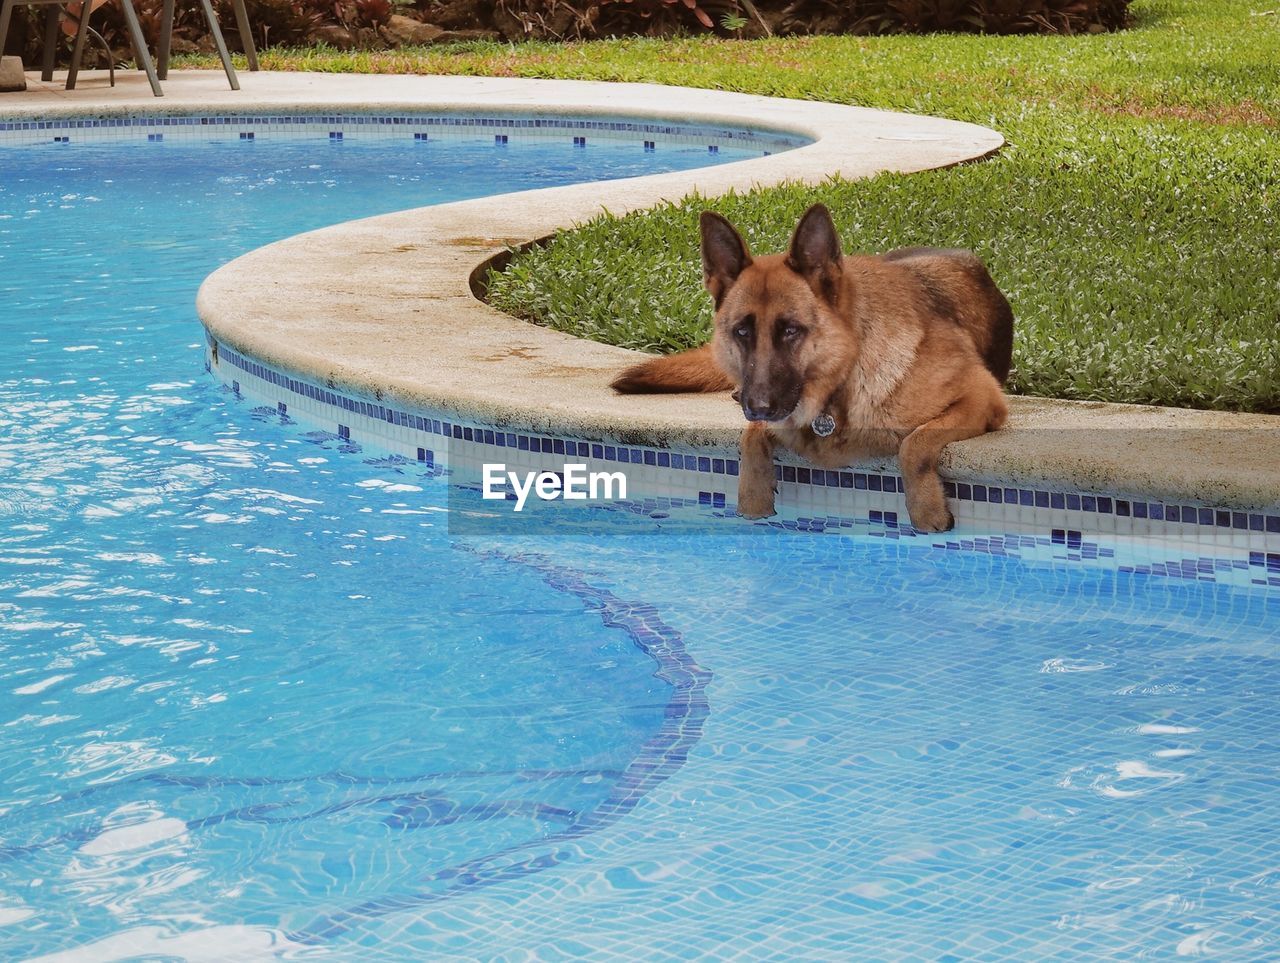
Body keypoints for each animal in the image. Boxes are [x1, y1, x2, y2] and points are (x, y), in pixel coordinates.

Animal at [614, 203, 1013, 535]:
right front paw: (753, 499)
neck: (842, 385)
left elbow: (915, 444)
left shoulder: (980, 396)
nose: (757, 405)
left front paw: (926, 510)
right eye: (741, 331)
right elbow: (751, 438)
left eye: (791, 331)